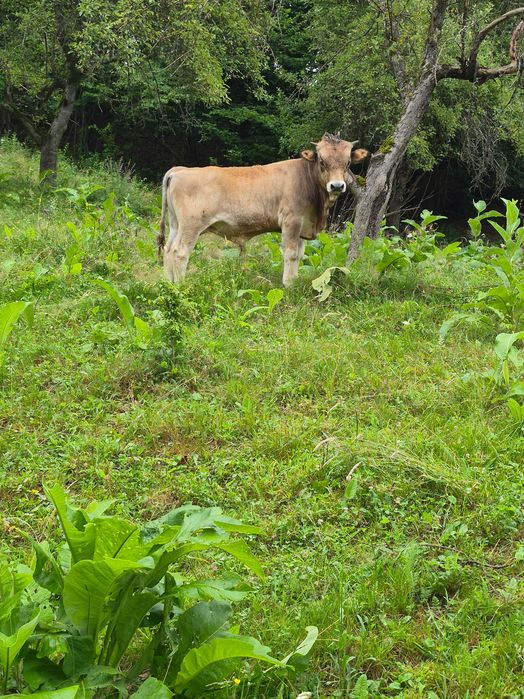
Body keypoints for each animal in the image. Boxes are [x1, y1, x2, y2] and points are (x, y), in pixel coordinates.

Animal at [157, 133, 368, 286]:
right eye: (322, 162)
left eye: (348, 163)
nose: (337, 186)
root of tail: (180, 169)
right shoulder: (291, 221)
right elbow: (290, 254)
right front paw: (288, 286)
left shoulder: (302, 225)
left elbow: (299, 255)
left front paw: (294, 282)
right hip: (191, 226)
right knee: (179, 252)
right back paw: (181, 285)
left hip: (176, 224)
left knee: (167, 250)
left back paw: (169, 283)